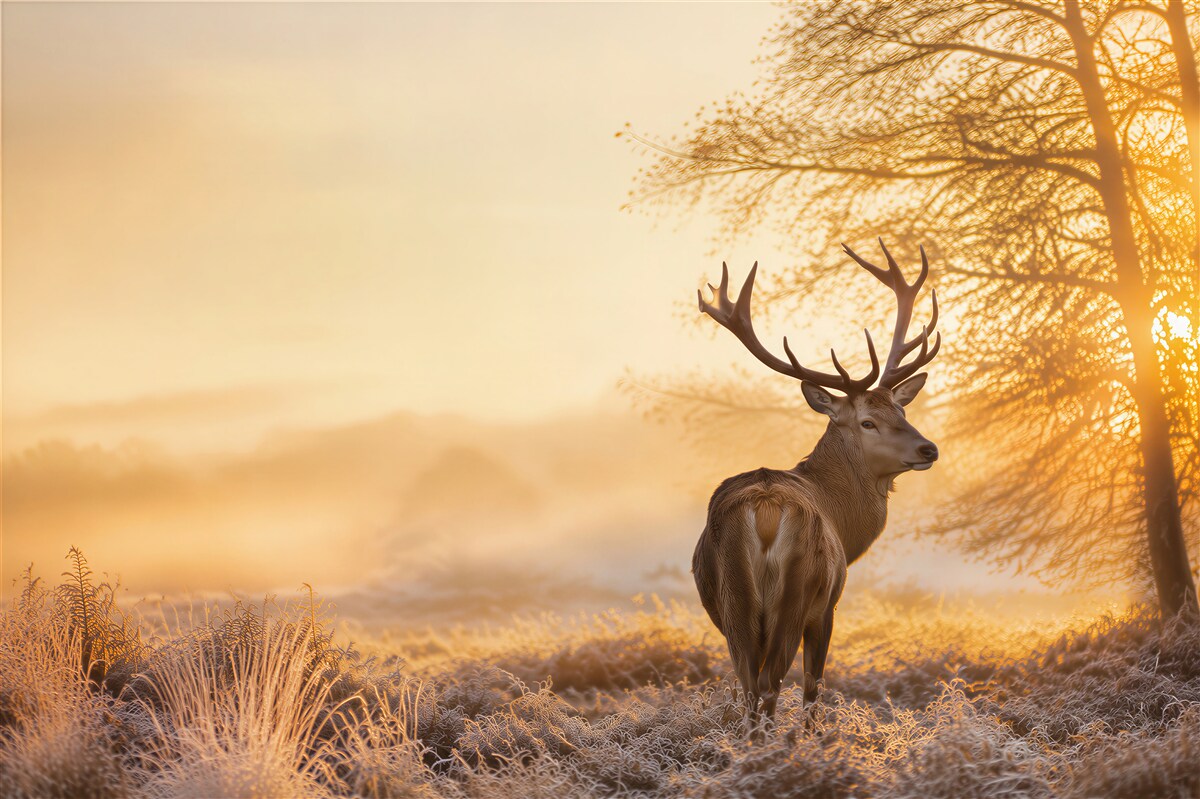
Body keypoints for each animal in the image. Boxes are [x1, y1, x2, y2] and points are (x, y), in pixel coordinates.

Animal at [692, 240, 942, 738]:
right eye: (867, 422)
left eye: (901, 412)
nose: (929, 448)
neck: (844, 522)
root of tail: (766, 509)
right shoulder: (829, 605)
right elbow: (814, 687)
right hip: (799, 591)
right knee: (772, 681)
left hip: (733, 601)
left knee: (749, 684)